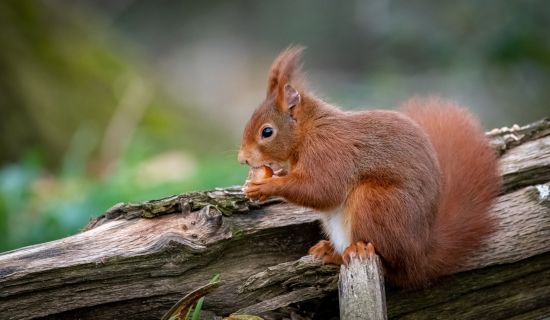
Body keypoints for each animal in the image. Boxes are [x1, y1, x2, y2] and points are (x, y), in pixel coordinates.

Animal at [239, 45, 502, 288]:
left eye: (267, 132)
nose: (242, 159)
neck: (307, 131)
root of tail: (421, 256)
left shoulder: (330, 152)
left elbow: (322, 189)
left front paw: (267, 185)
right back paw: (330, 251)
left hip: (375, 202)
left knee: (392, 268)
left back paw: (358, 251)